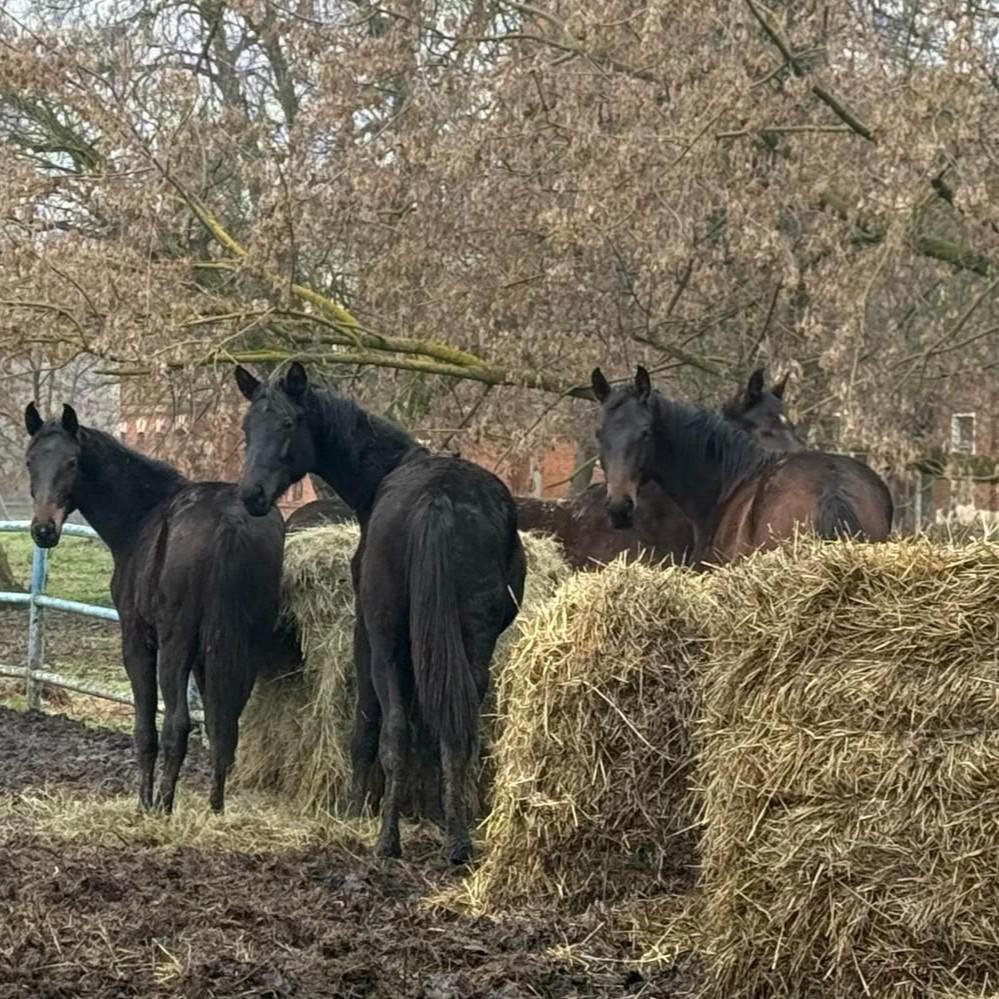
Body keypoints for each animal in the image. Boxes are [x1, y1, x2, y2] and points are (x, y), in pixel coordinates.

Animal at [23, 402, 298, 814]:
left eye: (72, 462)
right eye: (30, 461)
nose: (43, 529)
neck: (143, 516)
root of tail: (232, 520)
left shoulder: (137, 641)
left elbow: (145, 726)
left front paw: (144, 802)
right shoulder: (206, 654)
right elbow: (215, 719)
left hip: (175, 644)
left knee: (178, 724)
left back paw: (164, 807)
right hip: (242, 643)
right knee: (226, 721)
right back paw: (215, 808)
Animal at [234, 362, 526, 864]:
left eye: (288, 423)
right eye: (247, 428)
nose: (252, 495)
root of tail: (436, 500)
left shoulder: (365, 634)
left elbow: (367, 727)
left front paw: (354, 808)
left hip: (385, 638)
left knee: (393, 732)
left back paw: (388, 840)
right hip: (472, 643)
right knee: (455, 731)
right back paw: (458, 839)